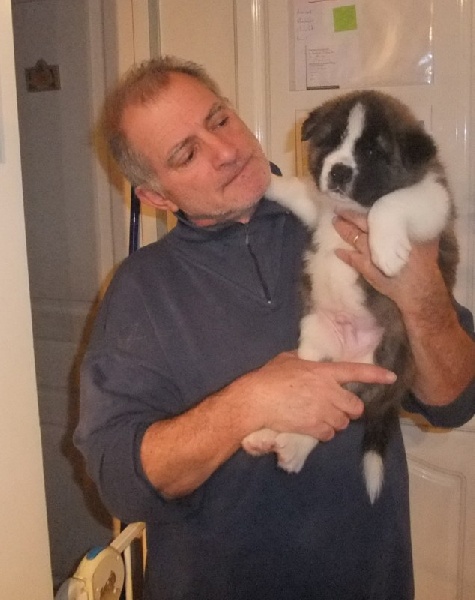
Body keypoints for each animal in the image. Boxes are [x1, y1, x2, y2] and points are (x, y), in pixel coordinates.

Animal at [242, 90, 459, 503]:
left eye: (372, 152)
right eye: (331, 141)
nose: (340, 172)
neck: (348, 208)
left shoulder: (434, 200)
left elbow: (393, 202)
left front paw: (387, 251)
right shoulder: (317, 204)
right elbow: (296, 187)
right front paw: (264, 179)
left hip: (372, 370)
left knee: (340, 412)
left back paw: (290, 448)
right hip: (314, 345)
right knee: (306, 403)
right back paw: (269, 435)